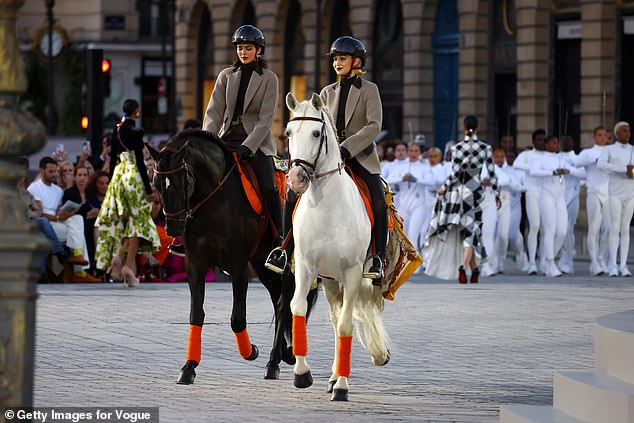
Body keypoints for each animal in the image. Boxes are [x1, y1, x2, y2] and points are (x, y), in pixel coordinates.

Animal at [282, 93, 390, 404]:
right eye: (288, 133)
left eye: (317, 134)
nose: (296, 179)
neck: (325, 207)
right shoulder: (306, 267)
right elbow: (297, 308)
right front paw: (302, 373)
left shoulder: (352, 272)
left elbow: (345, 325)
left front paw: (342, 386)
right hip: (330, 279)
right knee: (333, 316)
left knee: (342, 319)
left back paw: (337, 378)